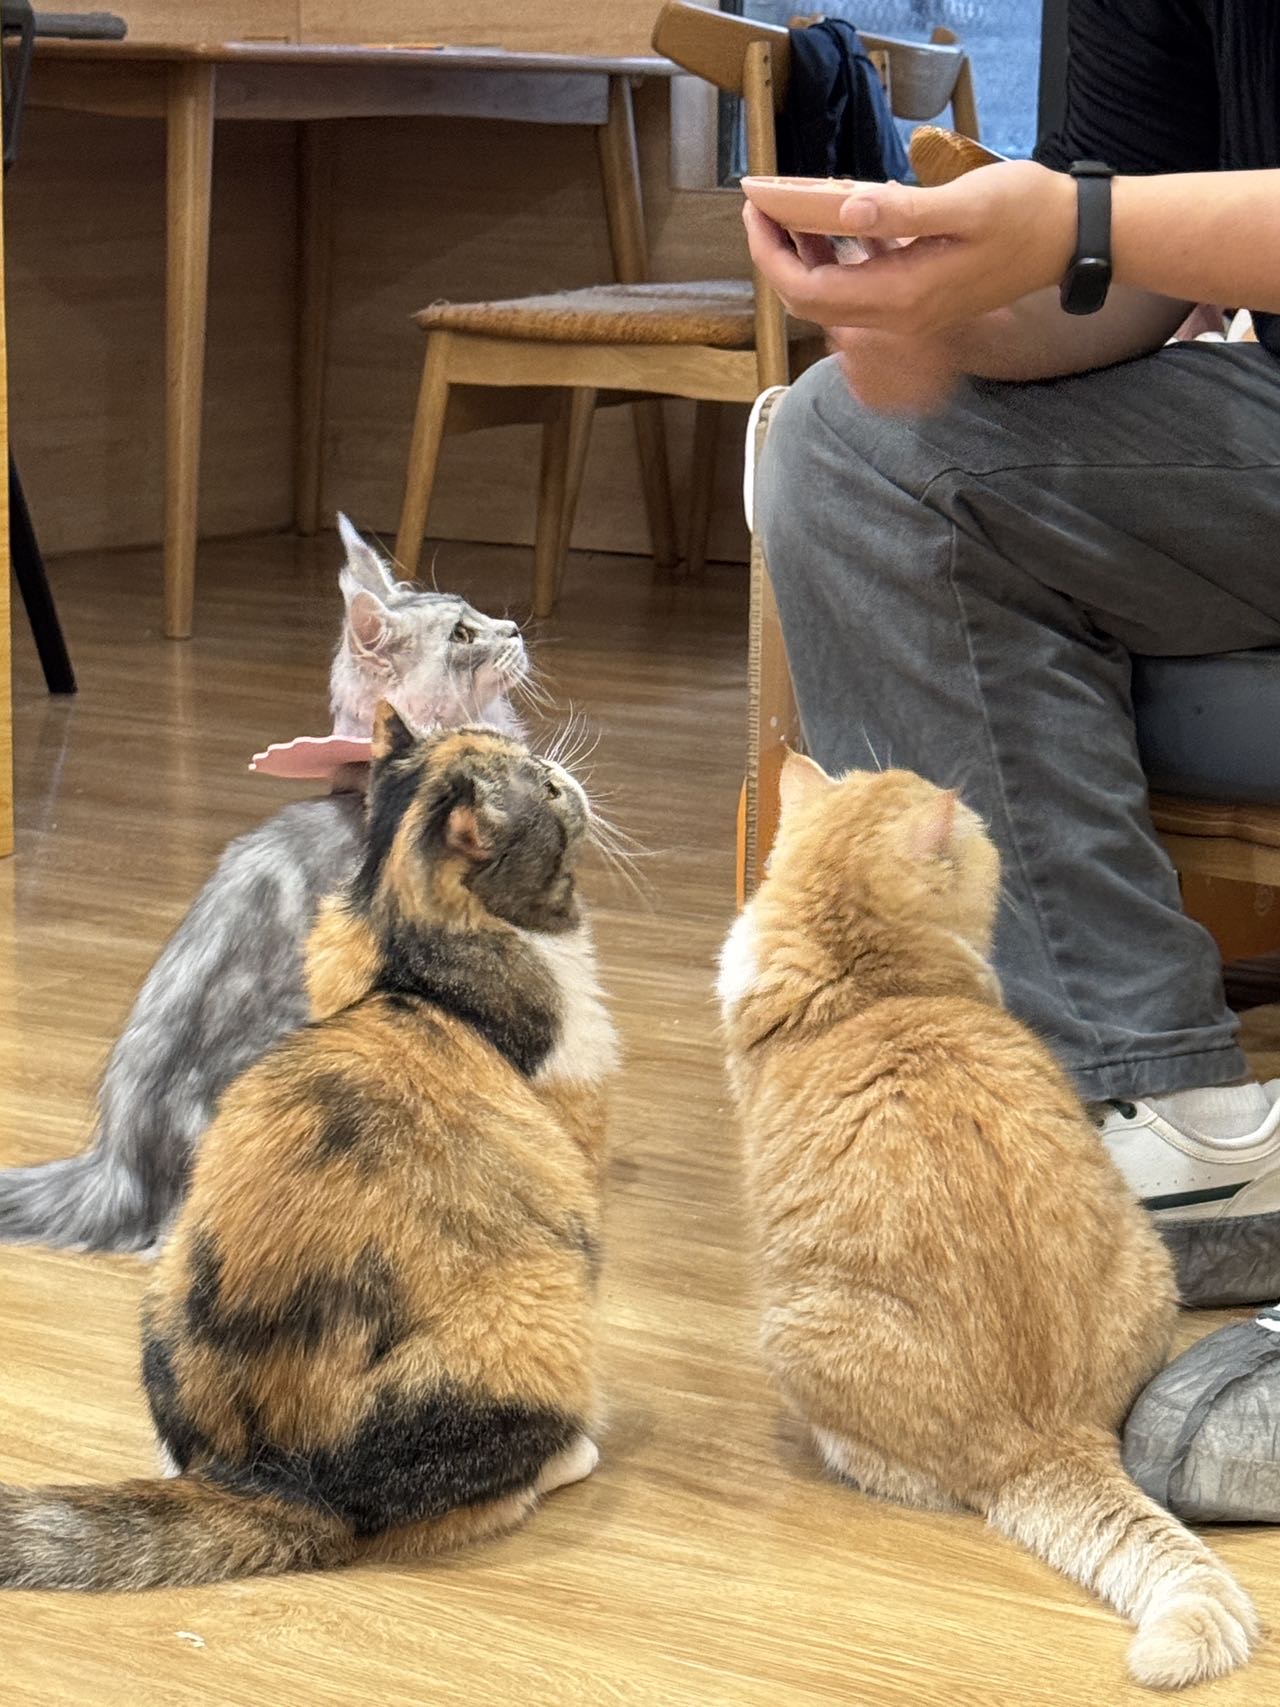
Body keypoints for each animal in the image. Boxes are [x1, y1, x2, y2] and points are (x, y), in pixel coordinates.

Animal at [0, 713, 618, 1590]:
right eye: (546, 788)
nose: (569, 772)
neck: (408, 963)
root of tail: (277, 1477)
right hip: (536, 1310)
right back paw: (575, 1451)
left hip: (165, 1278)